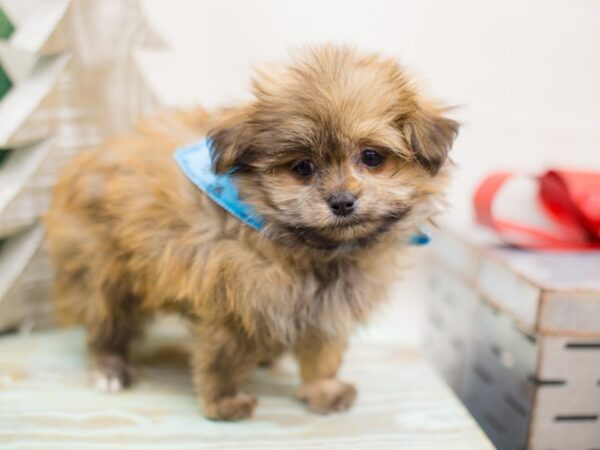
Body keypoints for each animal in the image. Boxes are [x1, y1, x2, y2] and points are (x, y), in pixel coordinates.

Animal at [45, 44, 460, 420]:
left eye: (372, 157)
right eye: (303, 167)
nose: (342, 201)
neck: (309, 247)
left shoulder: (326, 309)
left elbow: (322, 355)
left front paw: (321, 391)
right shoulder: (229, 301)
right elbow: (222, 359)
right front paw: (223, 403)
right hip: (105, 271)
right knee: (107, 323)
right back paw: (109, 368)